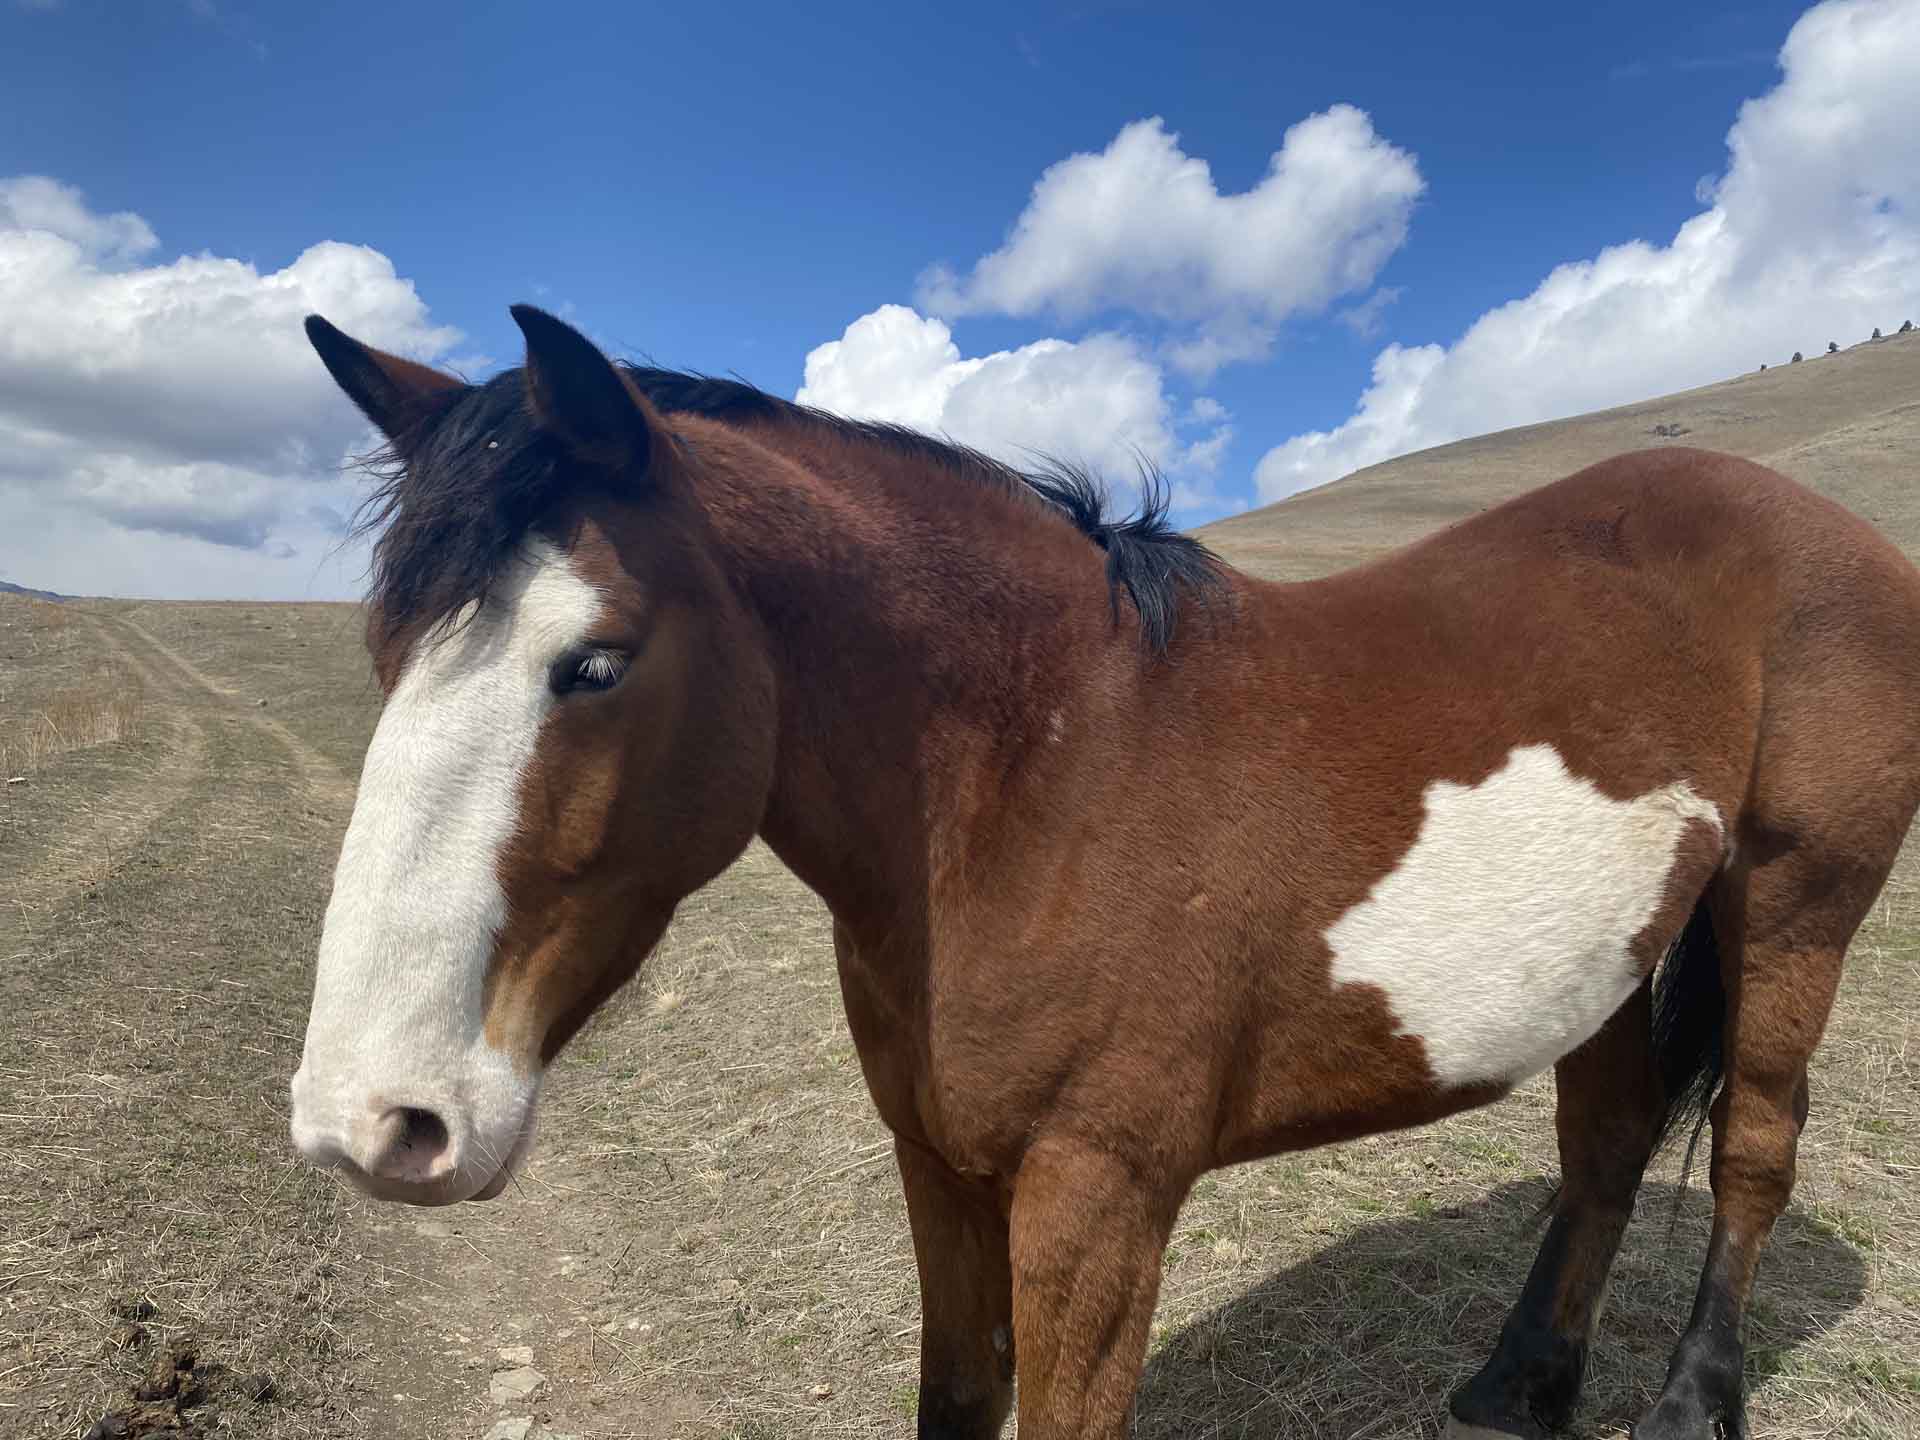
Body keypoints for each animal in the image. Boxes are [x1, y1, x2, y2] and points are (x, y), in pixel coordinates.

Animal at [290, 303, 1920, 1440]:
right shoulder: (939, 1166)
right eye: (384, 648)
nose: (374, 1123)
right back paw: (1520, 1383)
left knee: (1753, 1149)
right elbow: (959, 1397)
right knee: (1609, 1141)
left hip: (1794, 906)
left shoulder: (1097, 1195)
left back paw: (1688, 1403)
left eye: (597, 662)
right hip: (1615, 953)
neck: (1033, 776)